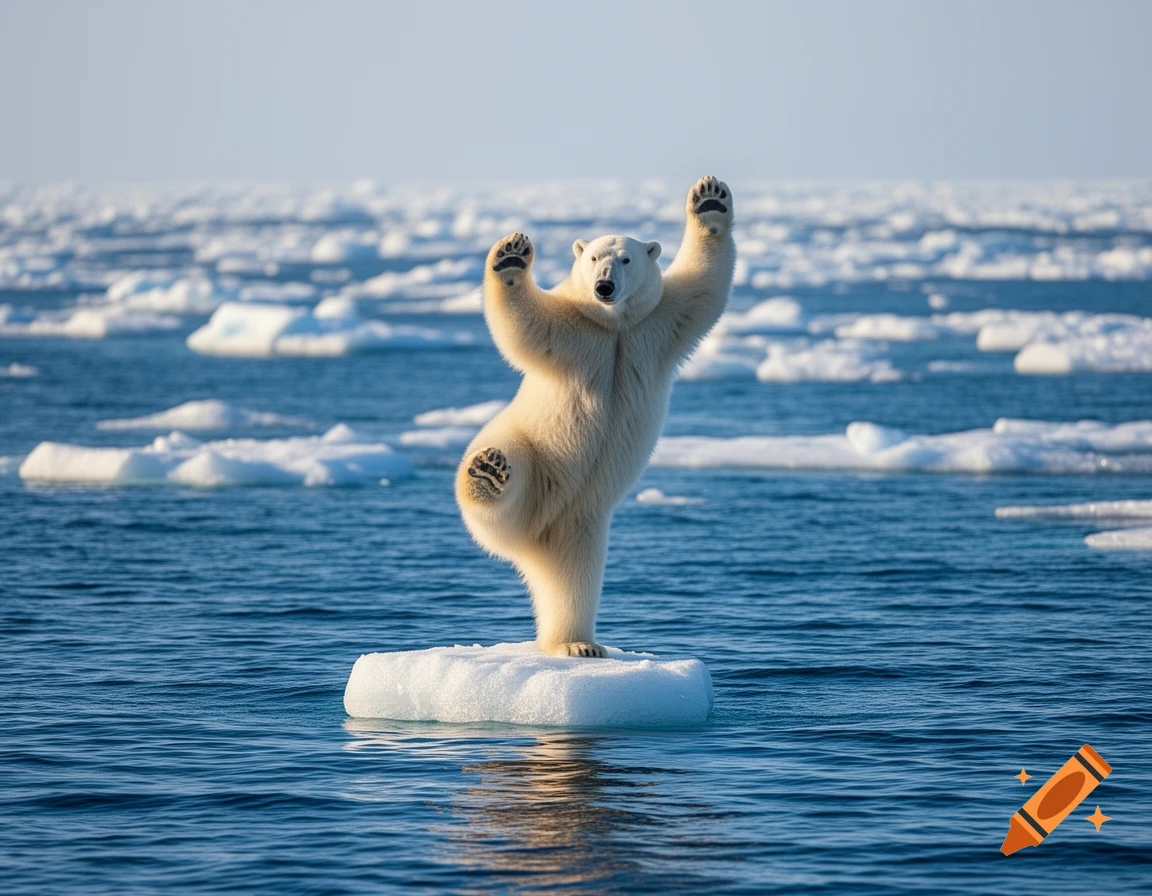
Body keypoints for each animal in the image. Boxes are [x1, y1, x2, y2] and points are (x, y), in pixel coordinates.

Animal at [455, 176, 735, 657]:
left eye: (625, 258)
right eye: (591, 258)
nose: (604, 286)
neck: (613, 327)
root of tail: (533, 539)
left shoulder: (655, 325)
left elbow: (704, 286)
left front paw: (711, 202)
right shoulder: (574, 333)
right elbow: (522, 325)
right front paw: (511, 256)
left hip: (581, 521)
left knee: (575, 578)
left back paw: (577, 643)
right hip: (531, 451)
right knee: (499, 486)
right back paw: (488, 471)